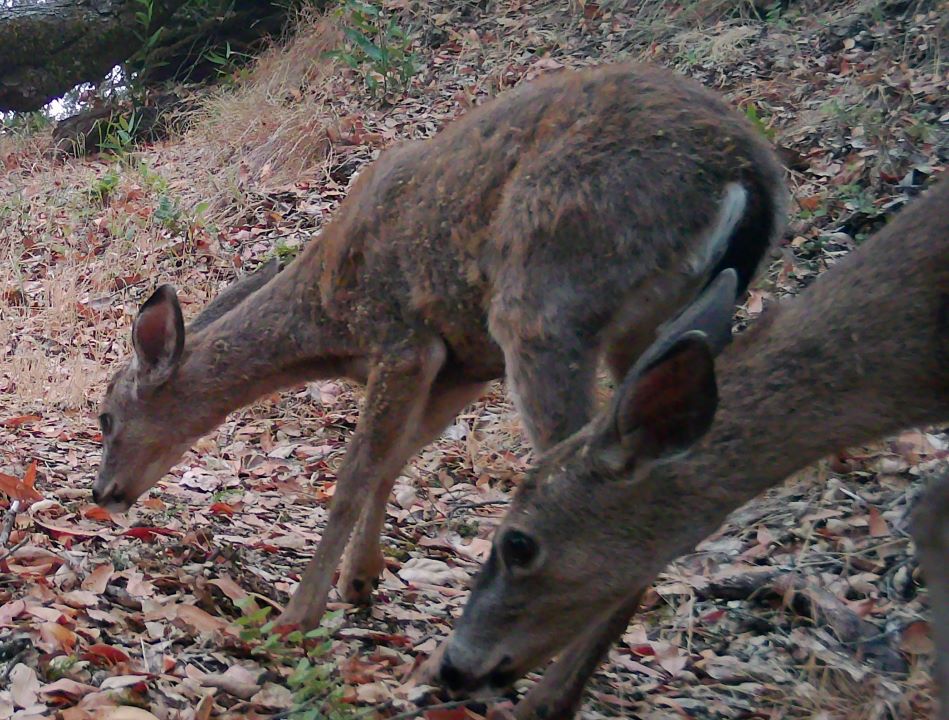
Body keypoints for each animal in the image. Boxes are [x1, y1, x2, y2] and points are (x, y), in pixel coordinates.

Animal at [92, 62, 787, 630]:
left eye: (105, 417)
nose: (103, 493)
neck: (329, 323)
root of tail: (748, 173)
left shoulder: (404, 340)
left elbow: (356, 474)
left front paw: (298, 613)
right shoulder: (461, 366)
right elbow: (392, 462)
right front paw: (361, 582)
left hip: (548, 295)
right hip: (661, 322)